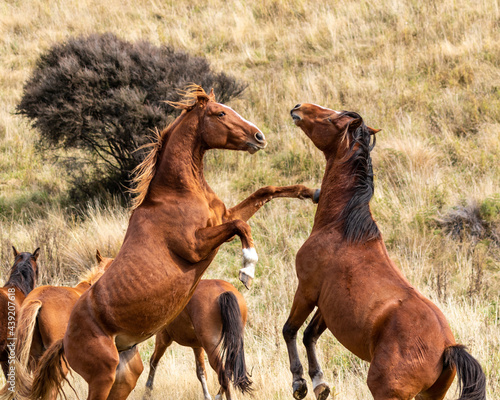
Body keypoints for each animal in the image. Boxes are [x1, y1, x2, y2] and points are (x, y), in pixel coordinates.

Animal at [30, 86, 316, 400]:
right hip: (102, 376)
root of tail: (66, 338)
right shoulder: (197, 246)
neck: (179, 191)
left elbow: (265, 192)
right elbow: (242, 226)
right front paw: (247, 269)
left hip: (125, 375)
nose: (259, 136)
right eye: (220, 113)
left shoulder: (222, 218)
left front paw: (311, 192)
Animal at [284, 104, 486, 400]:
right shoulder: (327, 303)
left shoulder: (307, 290)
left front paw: (299, 382)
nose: (299, 108)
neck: (341, 228)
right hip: (429, 396)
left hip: (385, 391)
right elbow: (310, 334)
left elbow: (291, 330)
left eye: (331, 118)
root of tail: (447, 349)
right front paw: (320, 383)